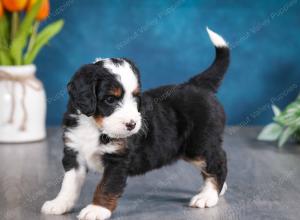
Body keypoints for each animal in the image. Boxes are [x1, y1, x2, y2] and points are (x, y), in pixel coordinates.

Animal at [41, 27, 230, 220]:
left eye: (135, 97)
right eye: (110, 99)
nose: (131, 125)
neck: (94, 126)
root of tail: (198, 85)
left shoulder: (117, 159)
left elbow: (106, 186)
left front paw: (96, 209)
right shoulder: (74, 153)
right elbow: (69, 184)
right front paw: (59, 203)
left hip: (199, 144)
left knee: (218, 162)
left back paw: (207, 196)